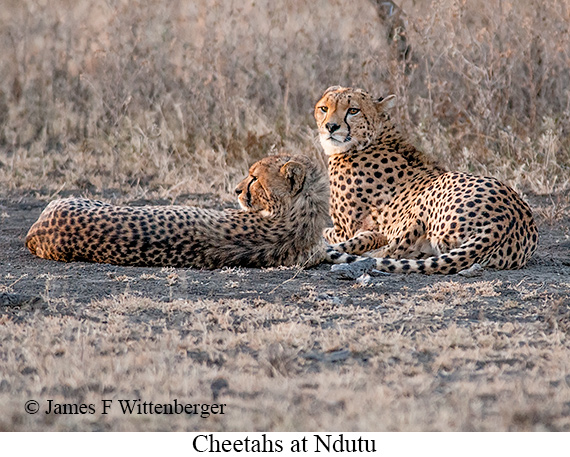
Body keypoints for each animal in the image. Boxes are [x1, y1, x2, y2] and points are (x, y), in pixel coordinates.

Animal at [312, 85, 536, 272]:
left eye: (353, 111)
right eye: (324, 108)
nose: (331, 127)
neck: (374, 137)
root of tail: (505, 222)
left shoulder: (344, 230)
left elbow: (328, 231)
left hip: (430, 196)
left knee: (393, 248)